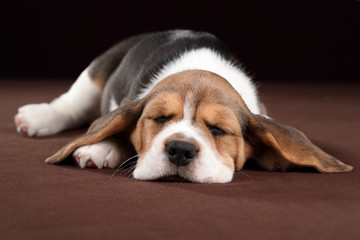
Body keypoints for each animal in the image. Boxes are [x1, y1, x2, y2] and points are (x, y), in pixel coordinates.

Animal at [14, 30, 352, 184]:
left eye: (218, 130)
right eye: (160, 118)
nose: (180, 150)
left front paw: (276, 153)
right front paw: (102, 147)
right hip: (95, 73)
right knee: (71, 104)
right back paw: (39, 118)